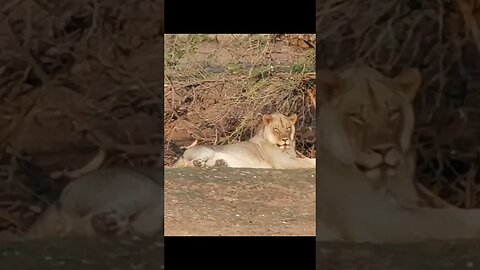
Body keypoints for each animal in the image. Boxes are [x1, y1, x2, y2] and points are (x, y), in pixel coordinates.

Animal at [172, 113, 316, 169]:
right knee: (189, 164)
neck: (286, 148)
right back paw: (200, 164)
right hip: (207, 150)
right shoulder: (283, 162)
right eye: (276, 129)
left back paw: (221, 163)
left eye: (288, 128)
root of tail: (182, 154)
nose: (285, 139)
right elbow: (306, 162)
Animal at [318, 65, 480, 243]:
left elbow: (449, 210)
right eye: (358, 116)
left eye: (393, 112)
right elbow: (444, 220)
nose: (383, 149)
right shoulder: (378, 218)